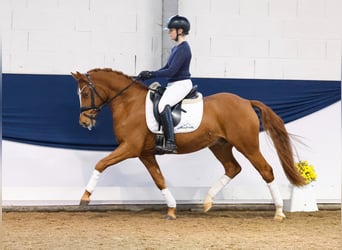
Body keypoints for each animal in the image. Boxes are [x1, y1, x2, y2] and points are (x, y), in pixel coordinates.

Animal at [71, 68, 304, 221]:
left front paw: (85, 198)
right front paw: (172, 210)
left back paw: (279, 212)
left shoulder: (130, 148)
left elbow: (101, 164)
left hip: (247, 146)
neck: (129, 103)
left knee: (266, 170)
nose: (84, 122)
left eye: (85, 93)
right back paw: (207, 202)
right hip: (219, 145)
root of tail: (246, 102)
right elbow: (159, 180)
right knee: (233, 168)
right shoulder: (145, 153)